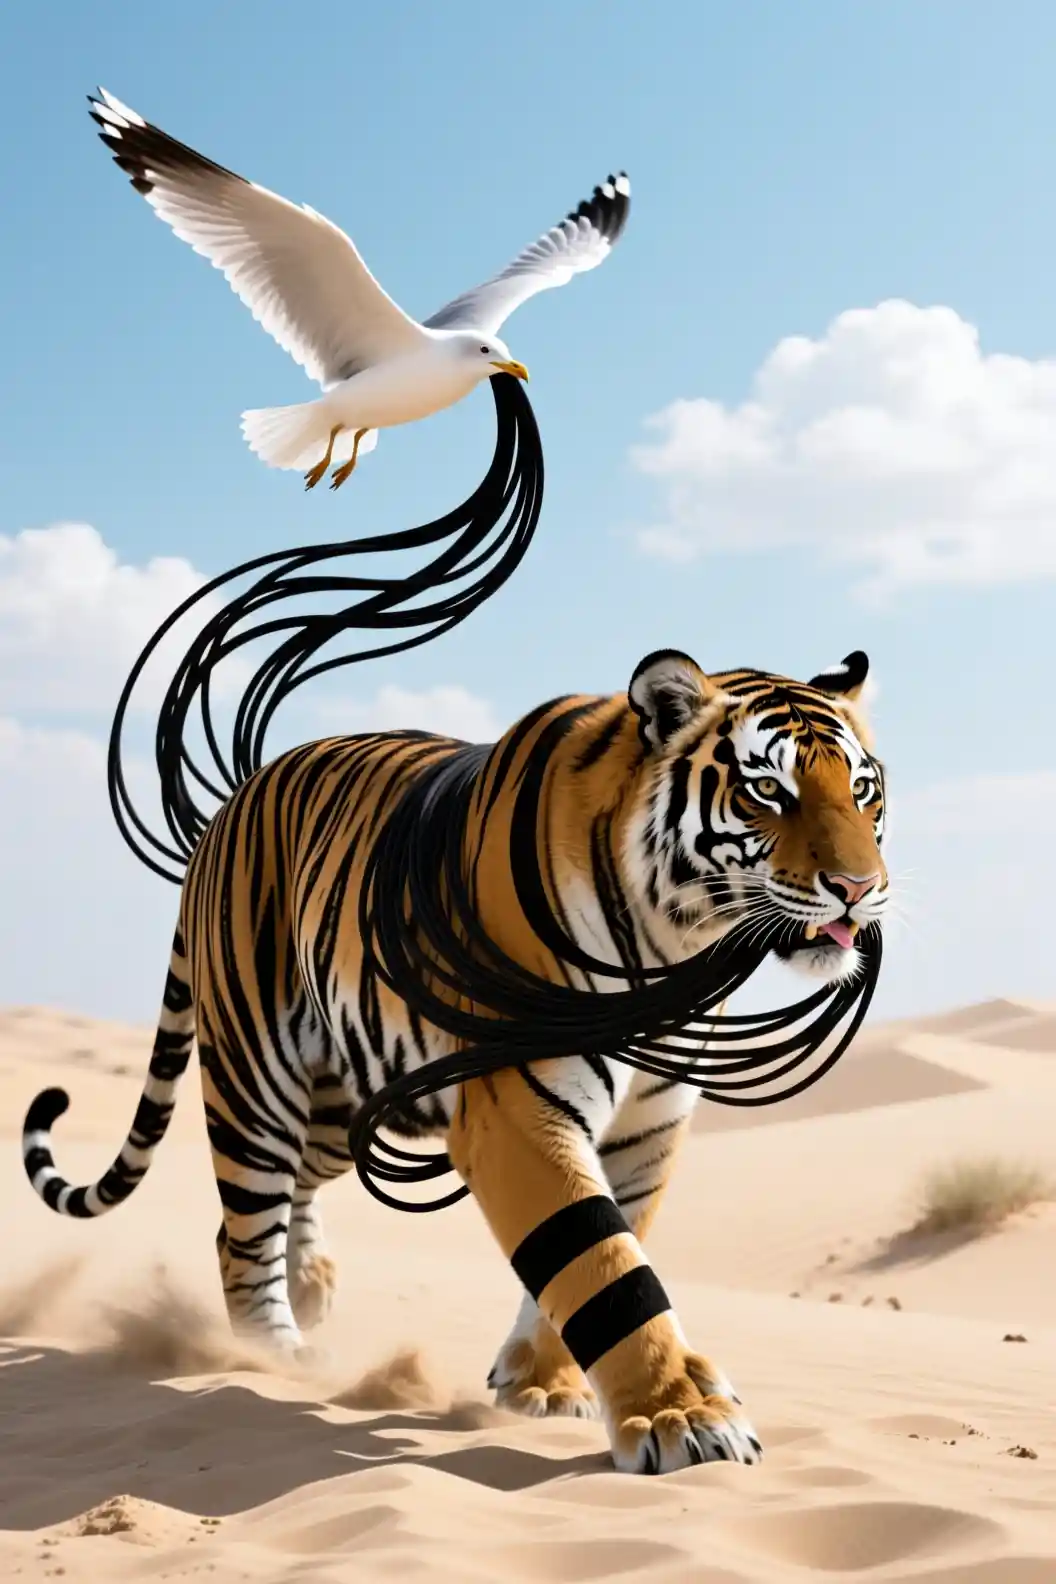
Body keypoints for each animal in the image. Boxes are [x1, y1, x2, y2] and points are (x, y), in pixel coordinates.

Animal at [22, 645, 888, 1475]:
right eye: (767, 790)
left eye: (863, 792)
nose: (859, 887)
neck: (676, 946)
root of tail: (229, 806)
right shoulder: (519, 1111)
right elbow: (607, 1266)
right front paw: (683, 1417)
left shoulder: (647, 1128)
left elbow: (598, 1250)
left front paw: (542, 1386)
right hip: (255, 1080)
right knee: (244, 1229)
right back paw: (269, 1355)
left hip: (343, 1104)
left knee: (276, 1201)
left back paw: (310, 1287)